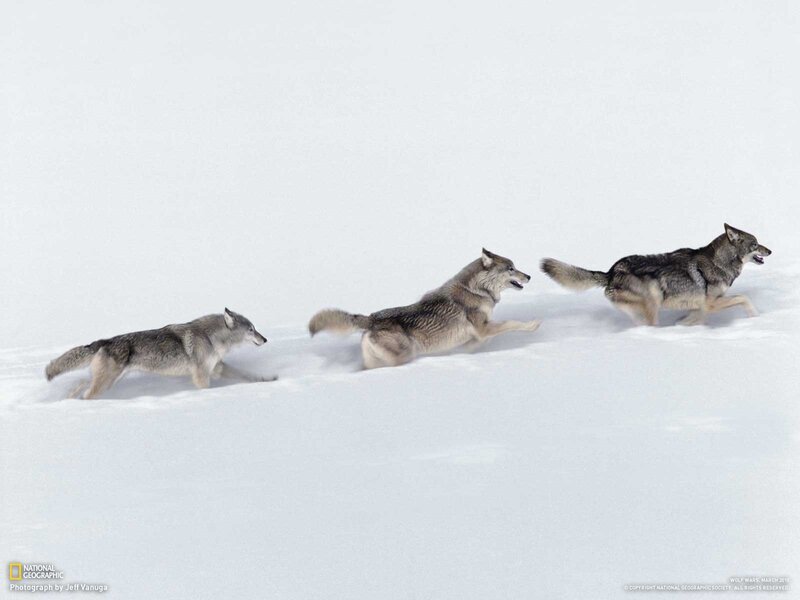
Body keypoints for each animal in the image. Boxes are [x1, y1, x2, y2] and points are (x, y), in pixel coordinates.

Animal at [45, 308, 275, 399]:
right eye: (251, 329)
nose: (265, 339)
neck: (212, 338)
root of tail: (103, 341)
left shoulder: (217, 368)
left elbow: (247, 375)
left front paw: (268, 379)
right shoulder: (202, 375)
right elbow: (206, 389)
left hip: (109, 381)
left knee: (80, 384)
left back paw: (69, 399)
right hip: (106, 383)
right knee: (86, 393)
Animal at [308, 249, 540, 369]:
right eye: (511, 268)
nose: (529, 276)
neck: (477, 290)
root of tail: (371, 318)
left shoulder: (480, 333)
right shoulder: (484, 329)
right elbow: (511, 323)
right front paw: (533, 325)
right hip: (405, 355)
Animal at [541, 223, 771, 326]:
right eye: (756, 244)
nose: (770, 251)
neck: (720, 263)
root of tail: (610, 272)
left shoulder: (702, 305)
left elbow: (693, 317)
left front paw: (683, 325)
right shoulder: (711, 303)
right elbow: (743, 298)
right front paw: (755, 317)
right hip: (653, 298)